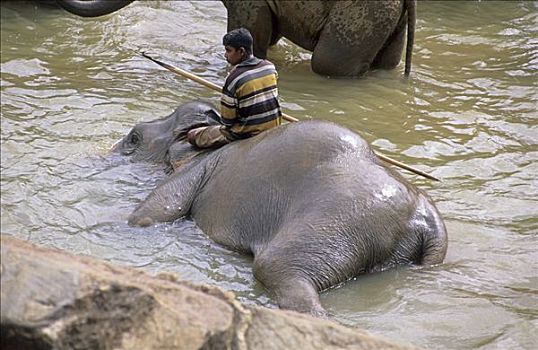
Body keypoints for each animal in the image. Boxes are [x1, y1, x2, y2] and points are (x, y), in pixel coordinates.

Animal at [115, 101, 446, 318]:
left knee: (275, 267)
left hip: (340, 220)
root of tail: (428, 221)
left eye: (134, 137)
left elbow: (152, 211)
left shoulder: (198, 169)